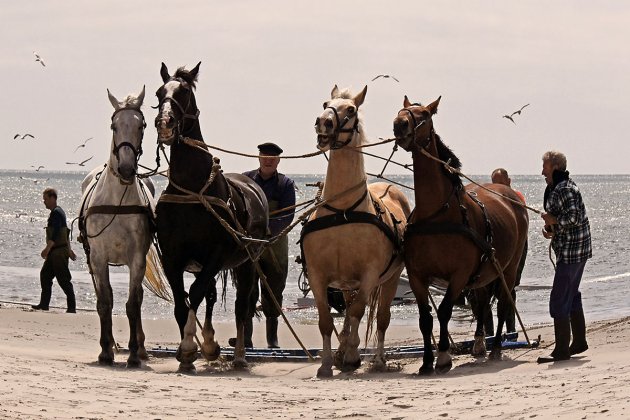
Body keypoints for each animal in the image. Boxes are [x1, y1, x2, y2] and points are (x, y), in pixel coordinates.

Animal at [78, 88, 156, 368]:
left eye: (141, 125)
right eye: (114, 126)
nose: (125, 168)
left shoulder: (137, 259)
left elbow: (133, 304)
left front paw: (133, 353)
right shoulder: (98, 258)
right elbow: (104, 302)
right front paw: (105, 351)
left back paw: (141, 348)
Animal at [156, 62, 270, 370]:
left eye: (184, 92)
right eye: (159, 92)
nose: (165, 123)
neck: (193, 190)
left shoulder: (215, 255)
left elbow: (195, 294)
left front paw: (188, 346)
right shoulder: (172, 257)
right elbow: (181, 302)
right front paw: (193, 349)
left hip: (247, 263)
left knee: (242, 305)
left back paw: (240, 355)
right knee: (209, 295)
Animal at [308, 85, 414, 378]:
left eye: (351, 109)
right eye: (325, 104)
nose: (323, 122)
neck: (342, 210)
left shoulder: (369, 275)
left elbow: (357, 312)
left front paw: (352, 355)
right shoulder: (317, 276)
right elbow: (326, 320)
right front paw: (327, 362)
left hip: (391, 279)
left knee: (381, 318)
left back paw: (377, 360)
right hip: (347, 284)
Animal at [392, 97, 532, 374]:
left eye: (424, 114)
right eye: (402, 110)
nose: (399, 124)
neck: (437, 213)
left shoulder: (459, 274)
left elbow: (445, 311)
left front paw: (444, 356)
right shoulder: (416, 275)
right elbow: (425, 318)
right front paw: (426, 361)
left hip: (508, 268)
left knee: (503, 302)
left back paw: (496, 347)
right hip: (485, 270)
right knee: (482, 301)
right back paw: (479, 343)